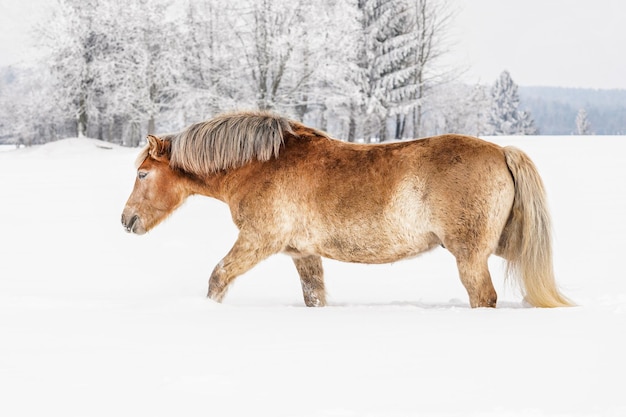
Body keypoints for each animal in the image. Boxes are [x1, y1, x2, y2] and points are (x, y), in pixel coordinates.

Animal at [119, 109, 572, 306]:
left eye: (142, 173)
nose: (127, 220)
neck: (262, 164)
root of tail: (501, 151)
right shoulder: (303, 254)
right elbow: (314, 297)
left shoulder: (257, 241)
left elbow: (217, 278)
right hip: (501, 245)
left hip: (471, 255)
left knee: (485, 297)